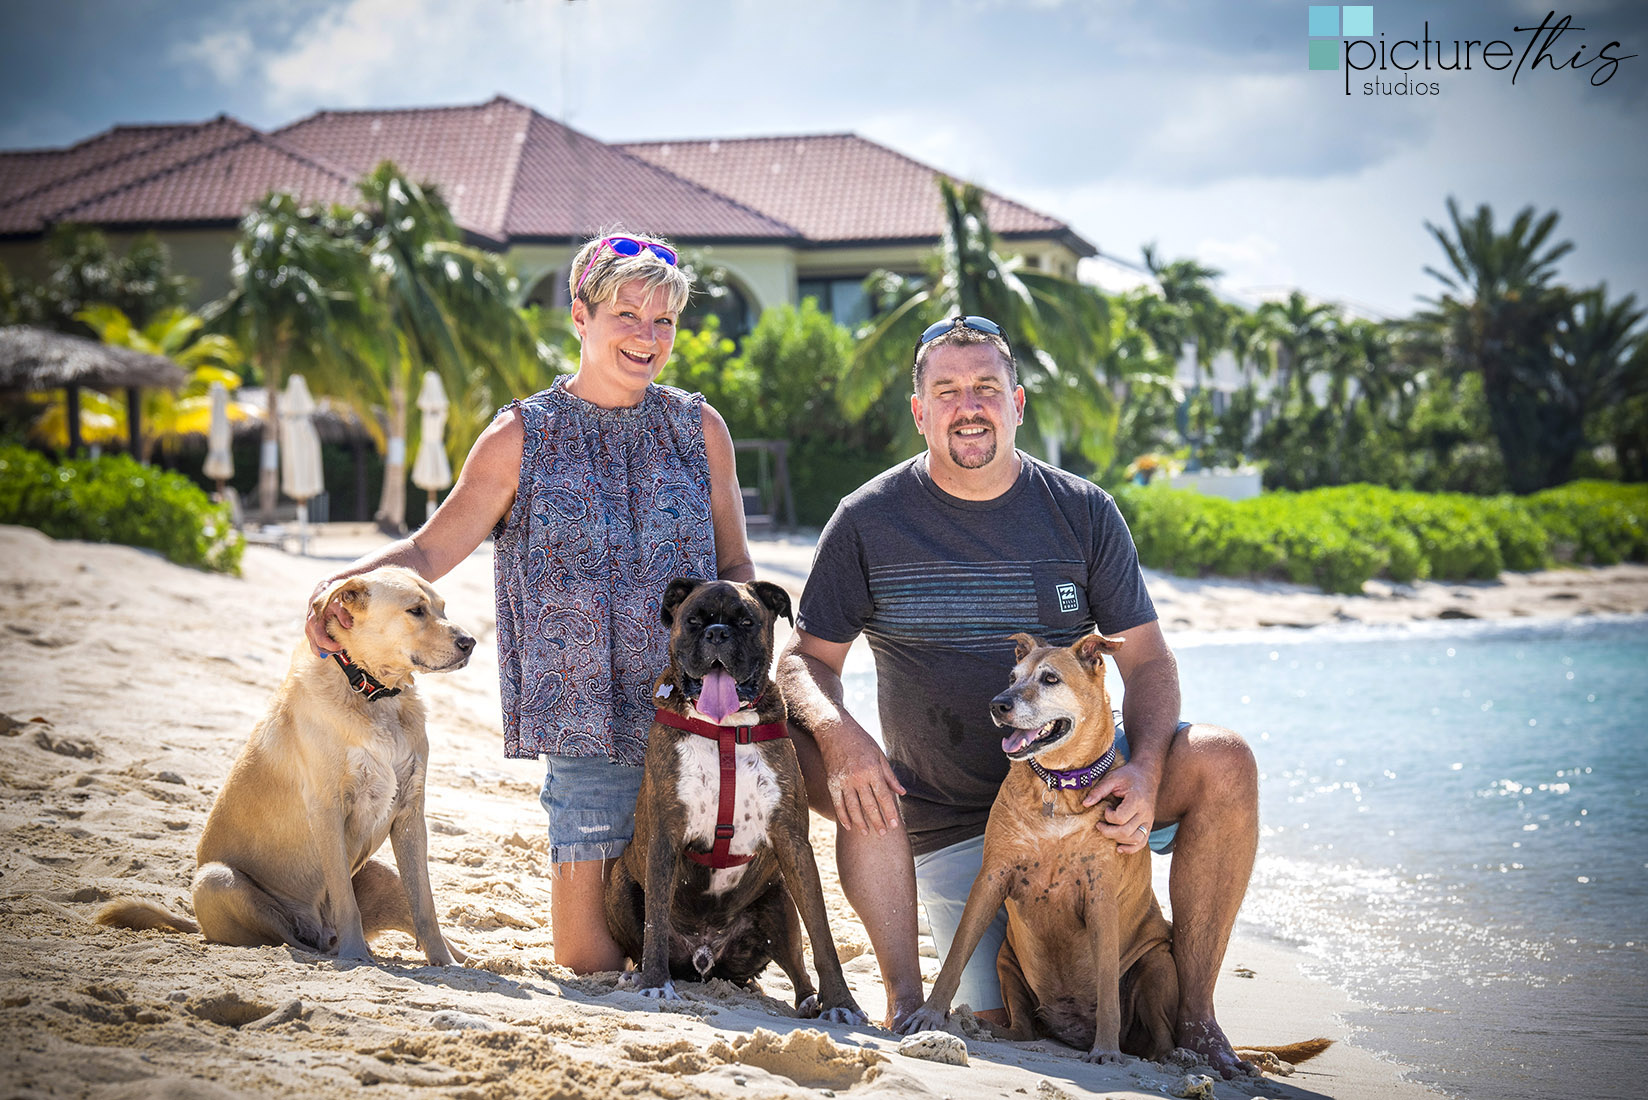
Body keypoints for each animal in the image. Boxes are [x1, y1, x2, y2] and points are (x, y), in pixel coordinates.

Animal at [96, 567, 474, 963]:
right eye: (416, 610)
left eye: (442, 608)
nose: (471, 642)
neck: (372, 693)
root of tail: (197, 925)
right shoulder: (327, 809)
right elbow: (345, 899)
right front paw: (356, 956)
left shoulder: (409, 814)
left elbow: (425, 906)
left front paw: (444, 964)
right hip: (217, 880)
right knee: (286, 938)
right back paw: (334, 950)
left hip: (382, 871)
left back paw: (467, 960)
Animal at [603, 577, 863, 1022]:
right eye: (694, 620)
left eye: (745, 621)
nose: (717, 634)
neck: (726, 729)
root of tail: (705, 957)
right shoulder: (665, 836)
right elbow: (655, 923)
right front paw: (655, 985)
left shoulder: (794, 845)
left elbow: (823, 936)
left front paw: (841, 1005)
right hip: (618, 886)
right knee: (642, 939)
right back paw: (636, 974)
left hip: (780, 903)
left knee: (796, 964)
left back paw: (810, 1000)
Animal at [896, 633, 1331, 1068]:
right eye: (1012, 677)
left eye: (1050, 679)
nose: (997, 704)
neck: (1058, 785)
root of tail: (1069, 1032)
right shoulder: (991, 878)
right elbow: (956, 955)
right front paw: (929, 1014)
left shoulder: (1101, 900)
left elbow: (1107, 990)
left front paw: (1105, 1050)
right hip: (1007, 958)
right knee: (1022, 1029)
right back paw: (987, 1028)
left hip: (1156, 965)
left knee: (1158, 1039)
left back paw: (1173, 1055)